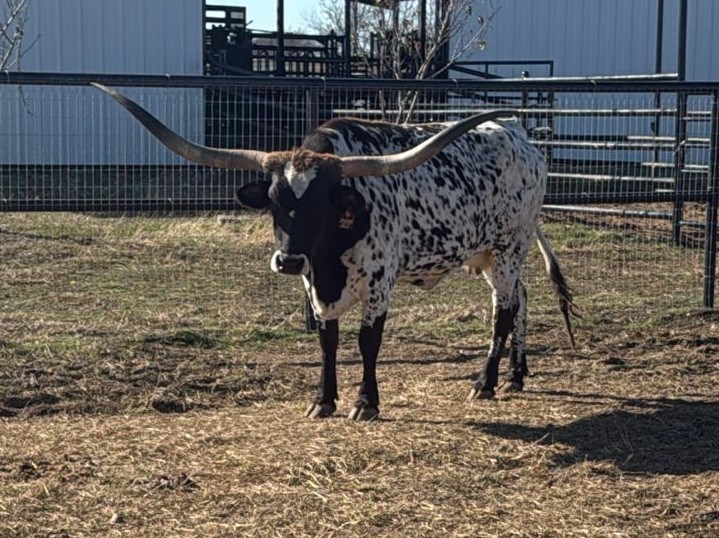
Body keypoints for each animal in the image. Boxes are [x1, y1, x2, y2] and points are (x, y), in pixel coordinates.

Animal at [93, 83, 579, 421]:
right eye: (274, 201)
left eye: (324, 203)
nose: (287, 260)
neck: (329, 255)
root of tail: (523, 139)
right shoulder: (315, 282)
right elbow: (327, 340)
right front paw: (323, 400)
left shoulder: (380, 281)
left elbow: (367, 341)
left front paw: (366, 403)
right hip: (487, 255)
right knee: (521, 300)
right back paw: (516, 376)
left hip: (509, 246)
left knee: (503, 311)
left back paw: (486, 381)